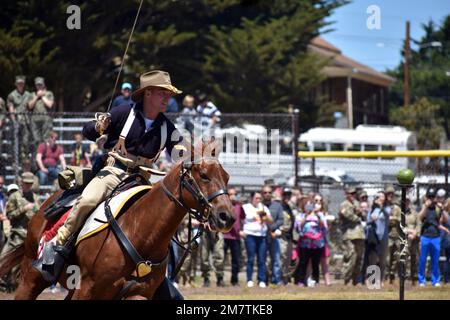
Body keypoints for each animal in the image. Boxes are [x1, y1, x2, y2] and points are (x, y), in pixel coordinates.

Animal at [0, 141, 236, 300]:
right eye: (203, 174)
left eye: (226, 176)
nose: (227, 217)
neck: (140, 231)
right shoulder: (86, 289)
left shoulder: (137, 294)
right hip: (32, 277)